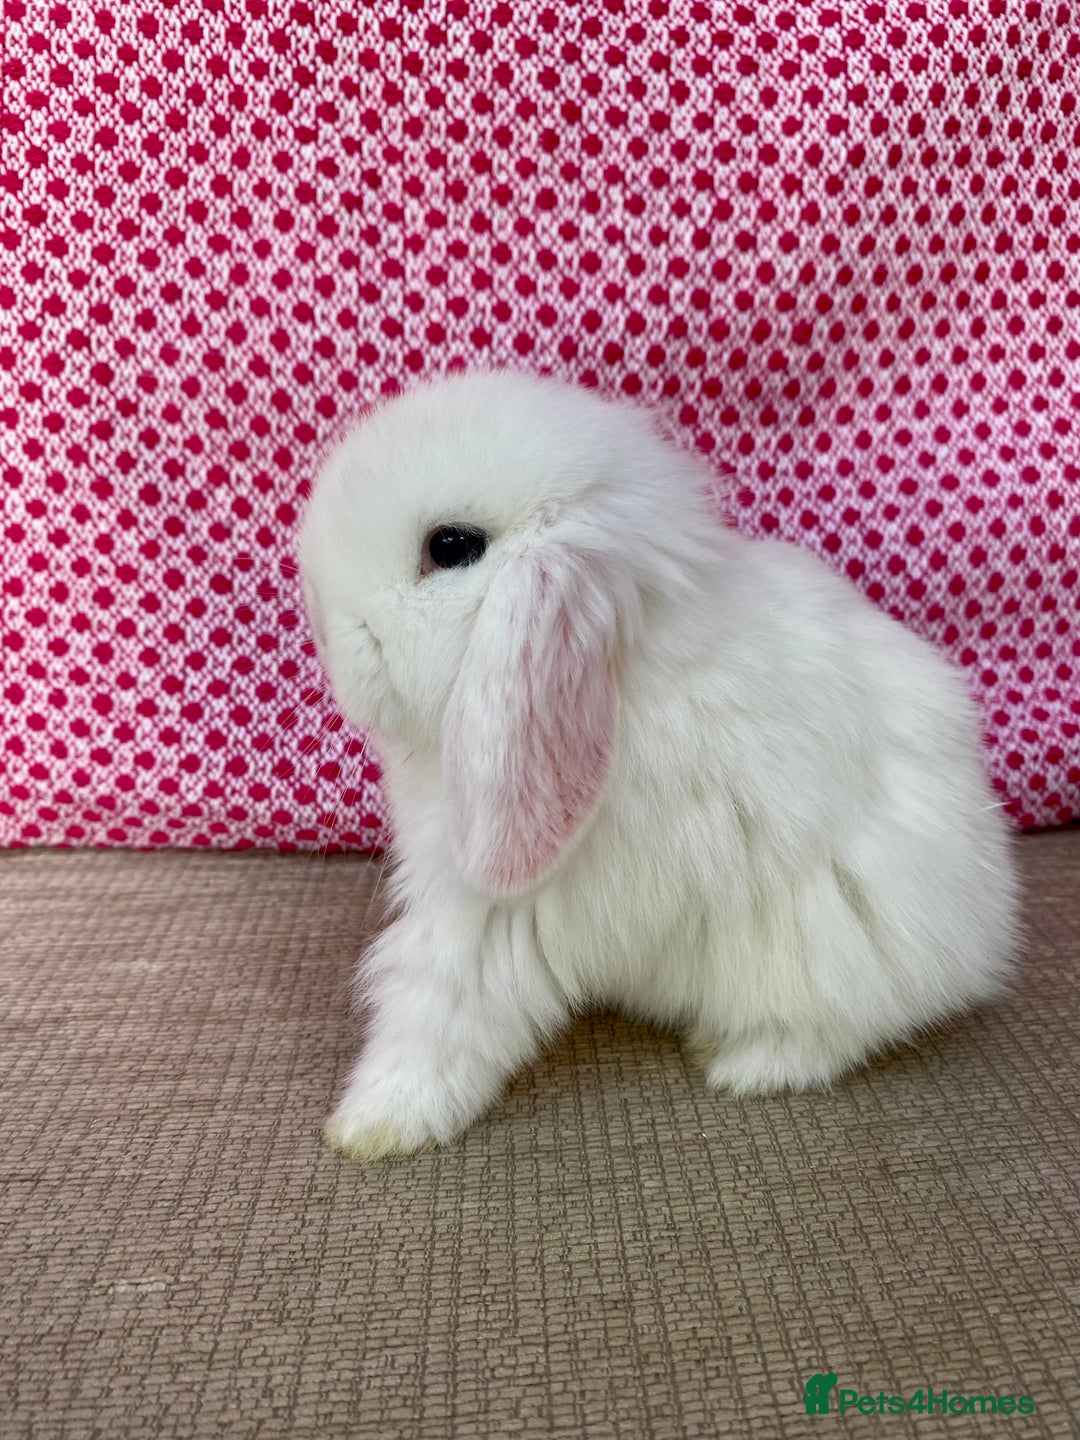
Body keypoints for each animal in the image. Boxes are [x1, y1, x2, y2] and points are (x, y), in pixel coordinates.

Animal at [298, 368, 1020, 1162]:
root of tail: (984, 930)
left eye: (451, 546)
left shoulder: (494, 905)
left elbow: (439, 1006)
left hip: (834, 939)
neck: (622, 678)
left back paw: (746, 1064)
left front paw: (373, 1125)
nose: (326, 636)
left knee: (846, 1021)